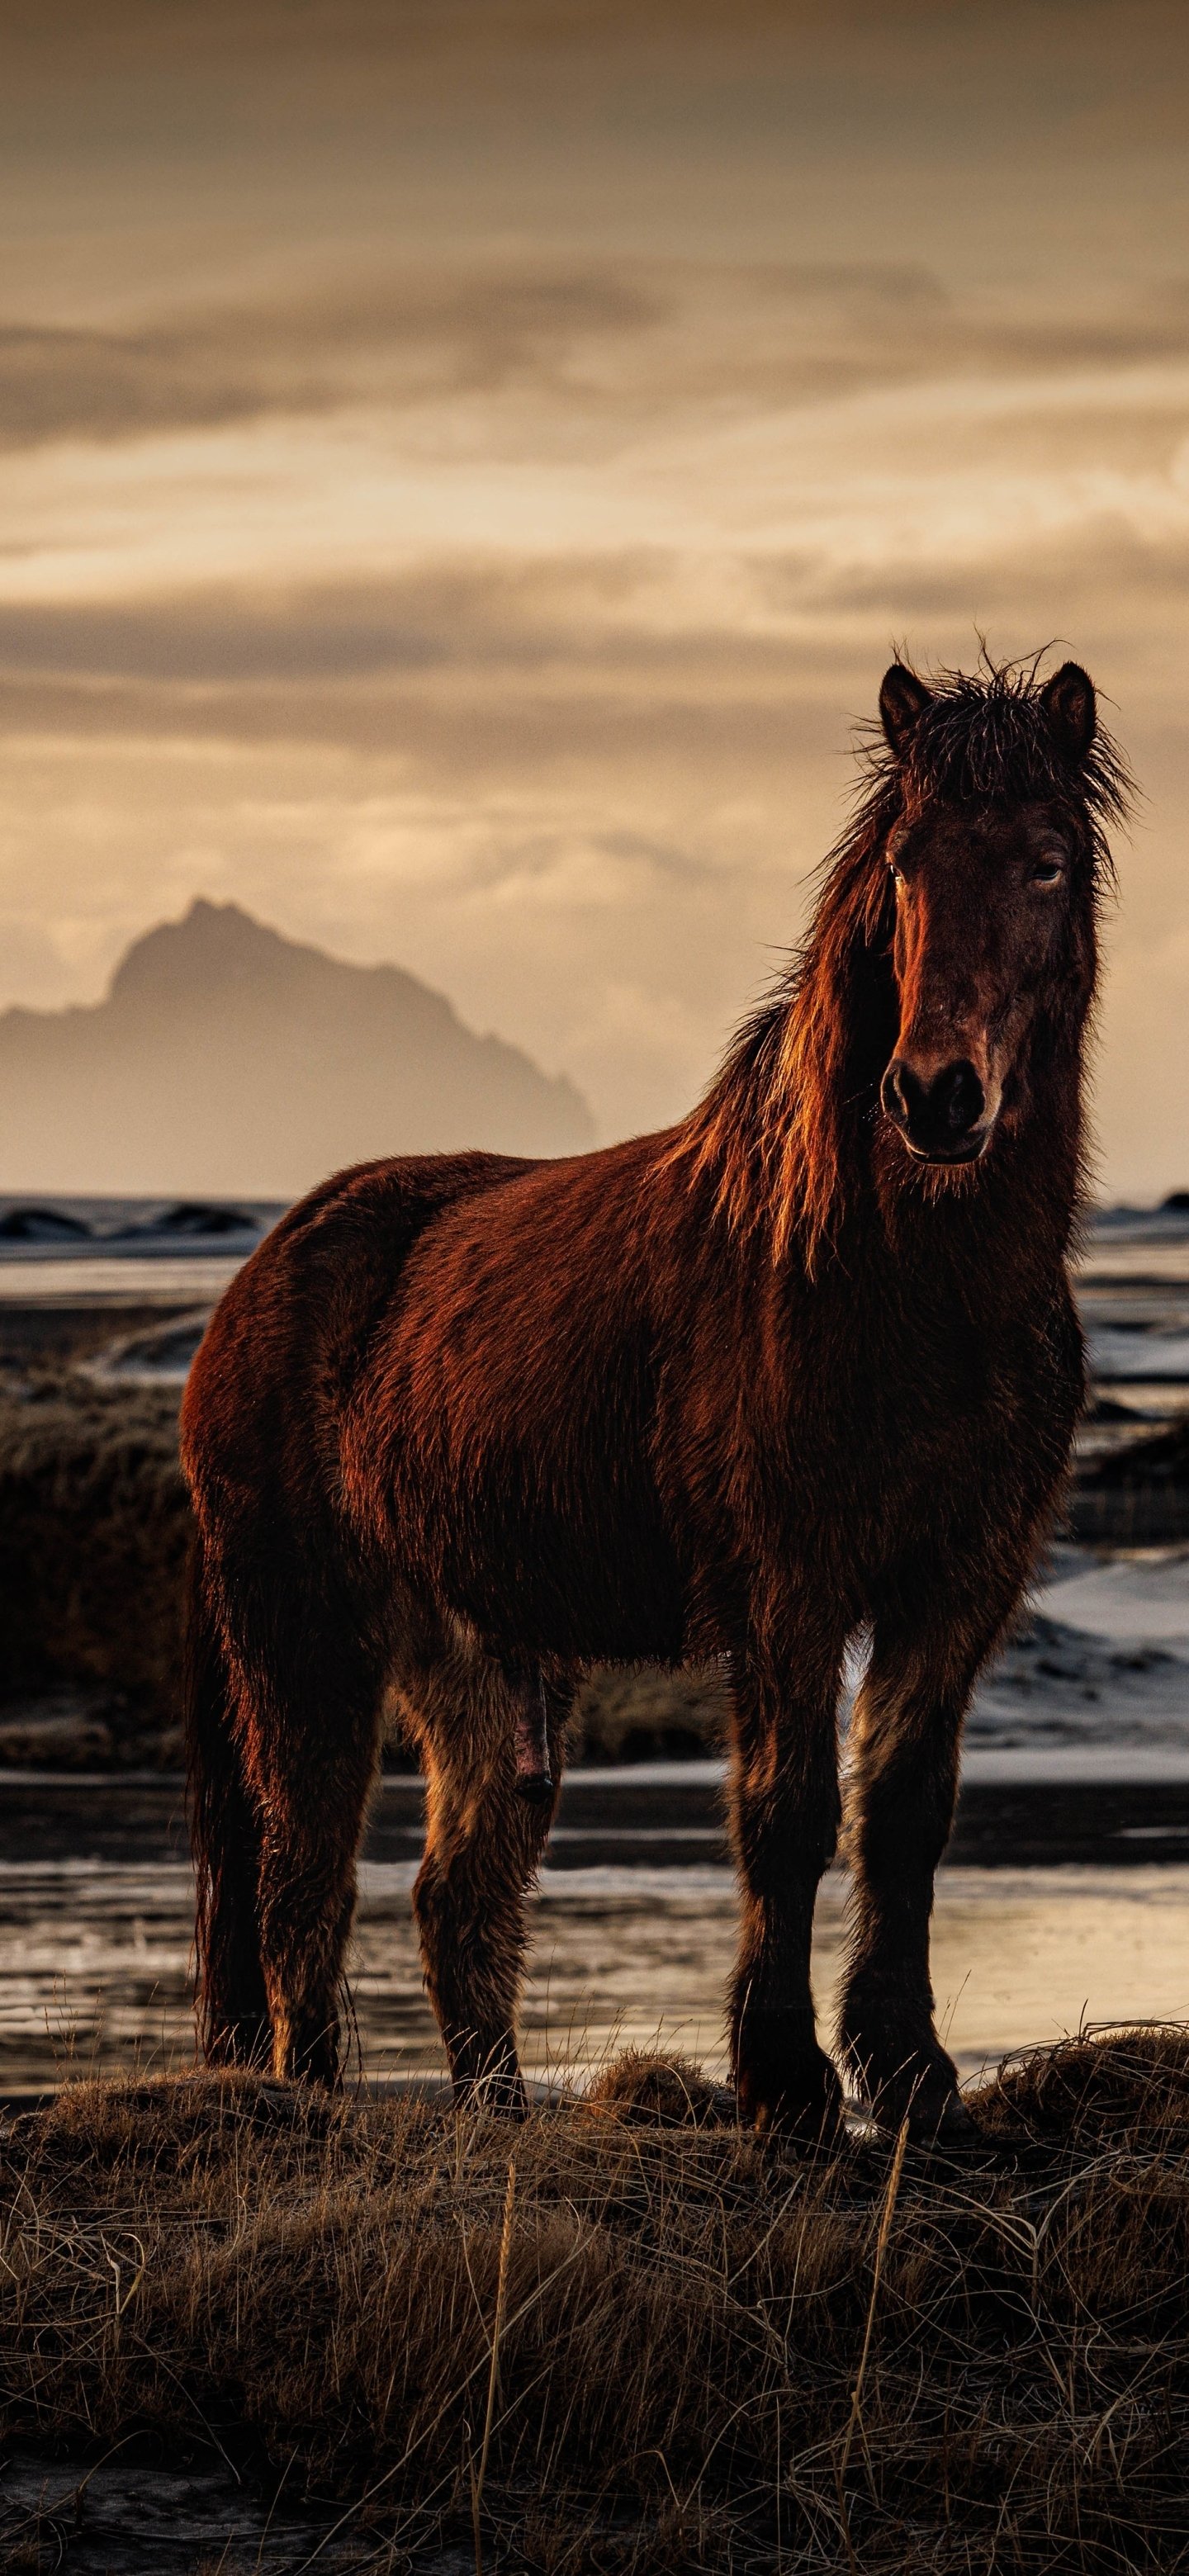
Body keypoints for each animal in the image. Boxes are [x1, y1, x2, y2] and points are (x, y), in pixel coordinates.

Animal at [181, 654, 1129, 2143]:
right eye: (905, 867)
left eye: (1045, 862)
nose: (935, 1098)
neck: (894, 1279)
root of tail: (265, 1270)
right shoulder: (790, 1585)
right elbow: (787, 1814)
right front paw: (787, 2083)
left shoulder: (958, 1585)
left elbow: (908, 1817)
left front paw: (912, 2074)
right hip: (305, 1639)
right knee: (301, 1885)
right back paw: (318, 2108)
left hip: (479, 1657)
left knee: (455, 1896)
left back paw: (500, 2117)